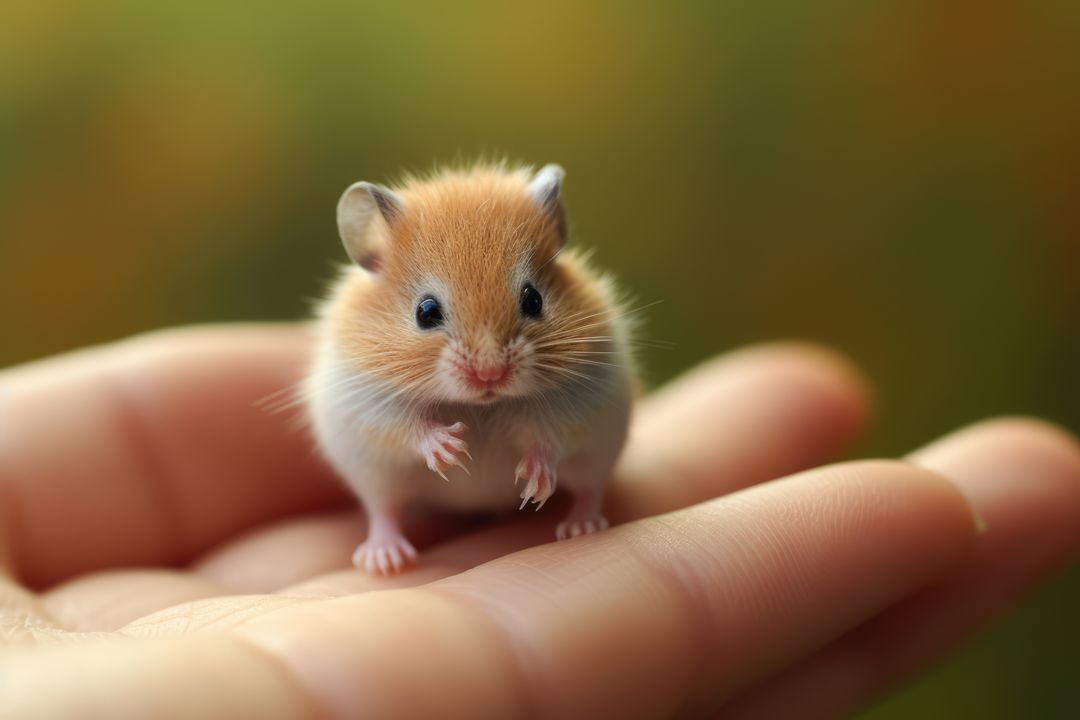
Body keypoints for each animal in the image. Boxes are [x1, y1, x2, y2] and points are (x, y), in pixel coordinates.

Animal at [304, 161, 635, 574]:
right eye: (426, 312)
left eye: (534, 300)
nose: (490, 375)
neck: (482, 405)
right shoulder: (367, 400)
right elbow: (408, 427)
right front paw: (452, 451)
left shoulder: (582, 395)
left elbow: (549, 437)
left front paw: (534, 482)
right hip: (375, 474)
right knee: (384, 510)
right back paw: (385, 560)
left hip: (597, 455)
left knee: (589, 490)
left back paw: (581, 528)